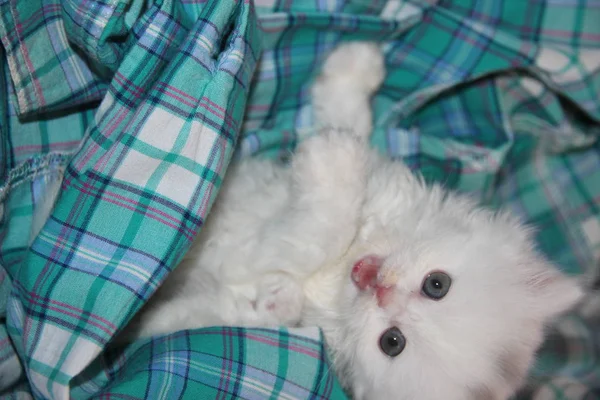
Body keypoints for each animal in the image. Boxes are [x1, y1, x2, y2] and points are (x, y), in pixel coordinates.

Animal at [119, 42, 584, 398]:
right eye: (438, 284)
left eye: (392, 342)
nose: (381, 291)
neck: (345, 267)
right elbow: (349, 125)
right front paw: (355, 70)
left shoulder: (259, 260)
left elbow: (306, 240)